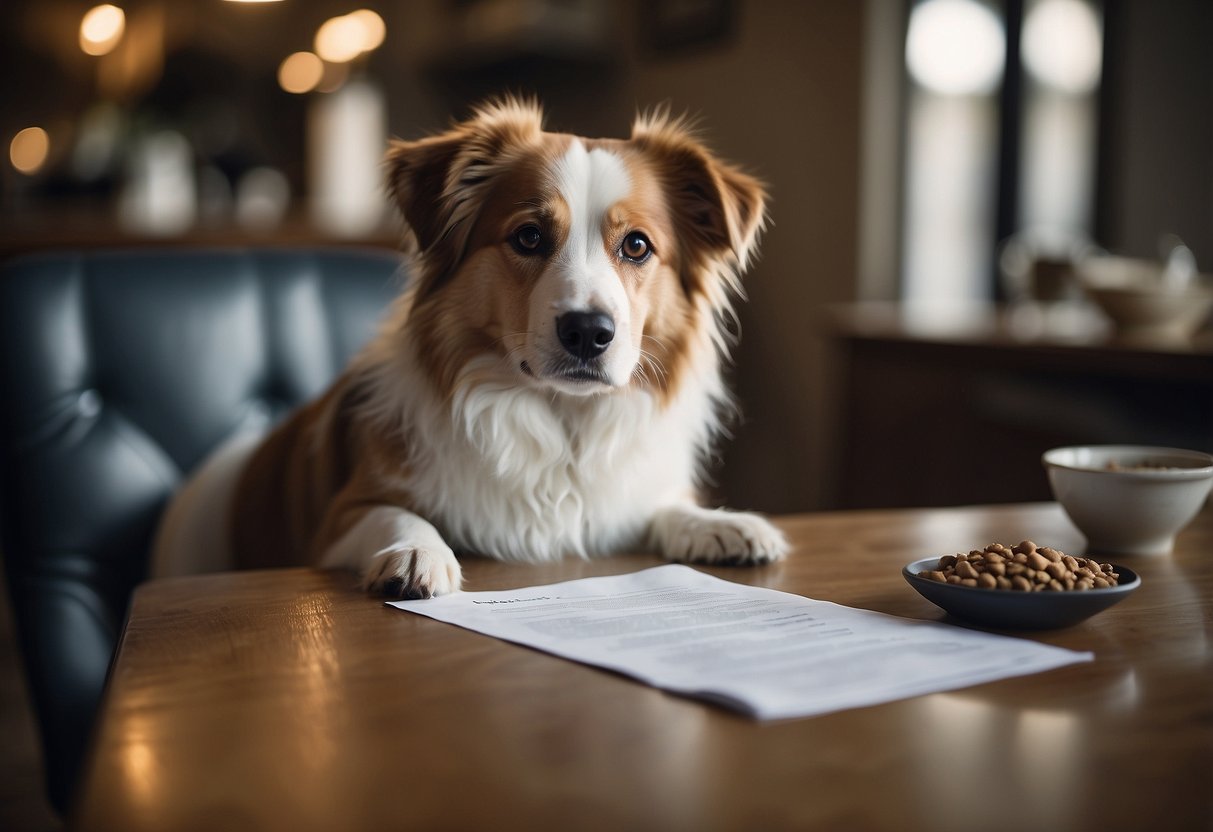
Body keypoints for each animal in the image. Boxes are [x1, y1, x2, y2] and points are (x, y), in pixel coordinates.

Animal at [151, 101, 790, 599]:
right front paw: (418, 552)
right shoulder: (337, 520)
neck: (559, 421)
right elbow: (396, 513)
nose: (589, 332)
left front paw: (718, 524)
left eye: (636, 246)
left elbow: (659, 505)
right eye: (529, 236)